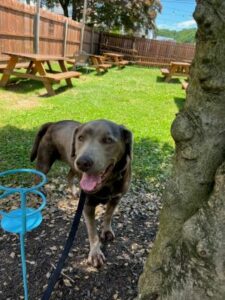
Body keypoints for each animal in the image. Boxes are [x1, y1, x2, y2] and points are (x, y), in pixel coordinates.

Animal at [29, 119, 132, 268]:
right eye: (81, 138)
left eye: (108, 140)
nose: (83, 162)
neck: (107, 183)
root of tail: (54, 123)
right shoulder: (88, 205)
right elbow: (92, 232)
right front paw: (95, 254)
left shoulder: (116, 198)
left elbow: (108, 215)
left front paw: (106, 231)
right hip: (46, 161)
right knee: (36, 178)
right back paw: (37, 195)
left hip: (72, 164)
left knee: (69, 176)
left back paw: (74, 192)